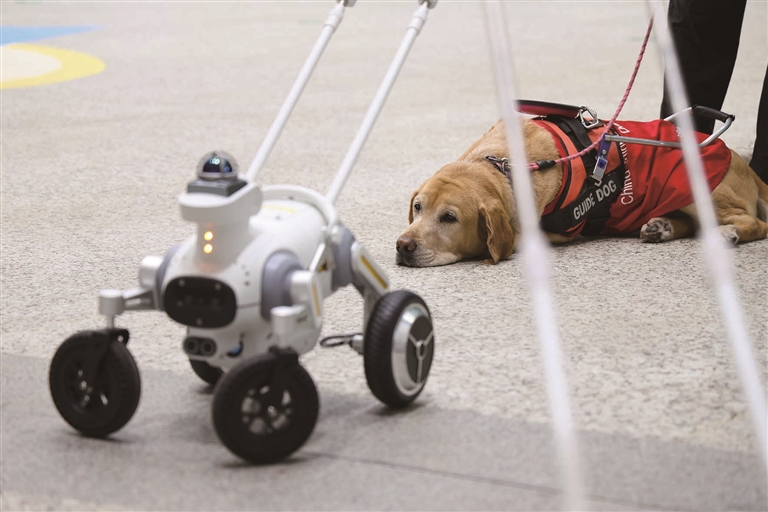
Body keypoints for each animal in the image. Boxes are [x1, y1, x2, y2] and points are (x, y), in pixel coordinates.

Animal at [396, 115, 768, 267]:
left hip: (700, 187)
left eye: (449, 217)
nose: (403, 246)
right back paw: (661, 226)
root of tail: (743, 163)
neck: (500, 166)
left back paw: (729, 232)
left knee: (756, 224)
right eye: (417, 207)